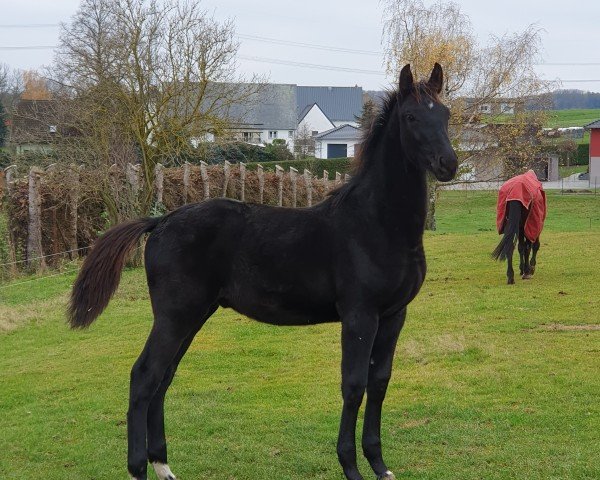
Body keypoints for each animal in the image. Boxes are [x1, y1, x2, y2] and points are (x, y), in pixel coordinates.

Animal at [68, 63, 458, 480]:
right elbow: (353, 385)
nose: (448, 164)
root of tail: (161, 221)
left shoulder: (394, 315)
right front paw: (351, 467)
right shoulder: (360, 315)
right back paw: (140, 466)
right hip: (175, 316)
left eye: (446, 114)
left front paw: (379, 464)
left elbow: (379, 382)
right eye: (411, 117)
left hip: (193, 316)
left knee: (163, 377)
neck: (377, 224)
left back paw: (164, 466)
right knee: (144, 377)